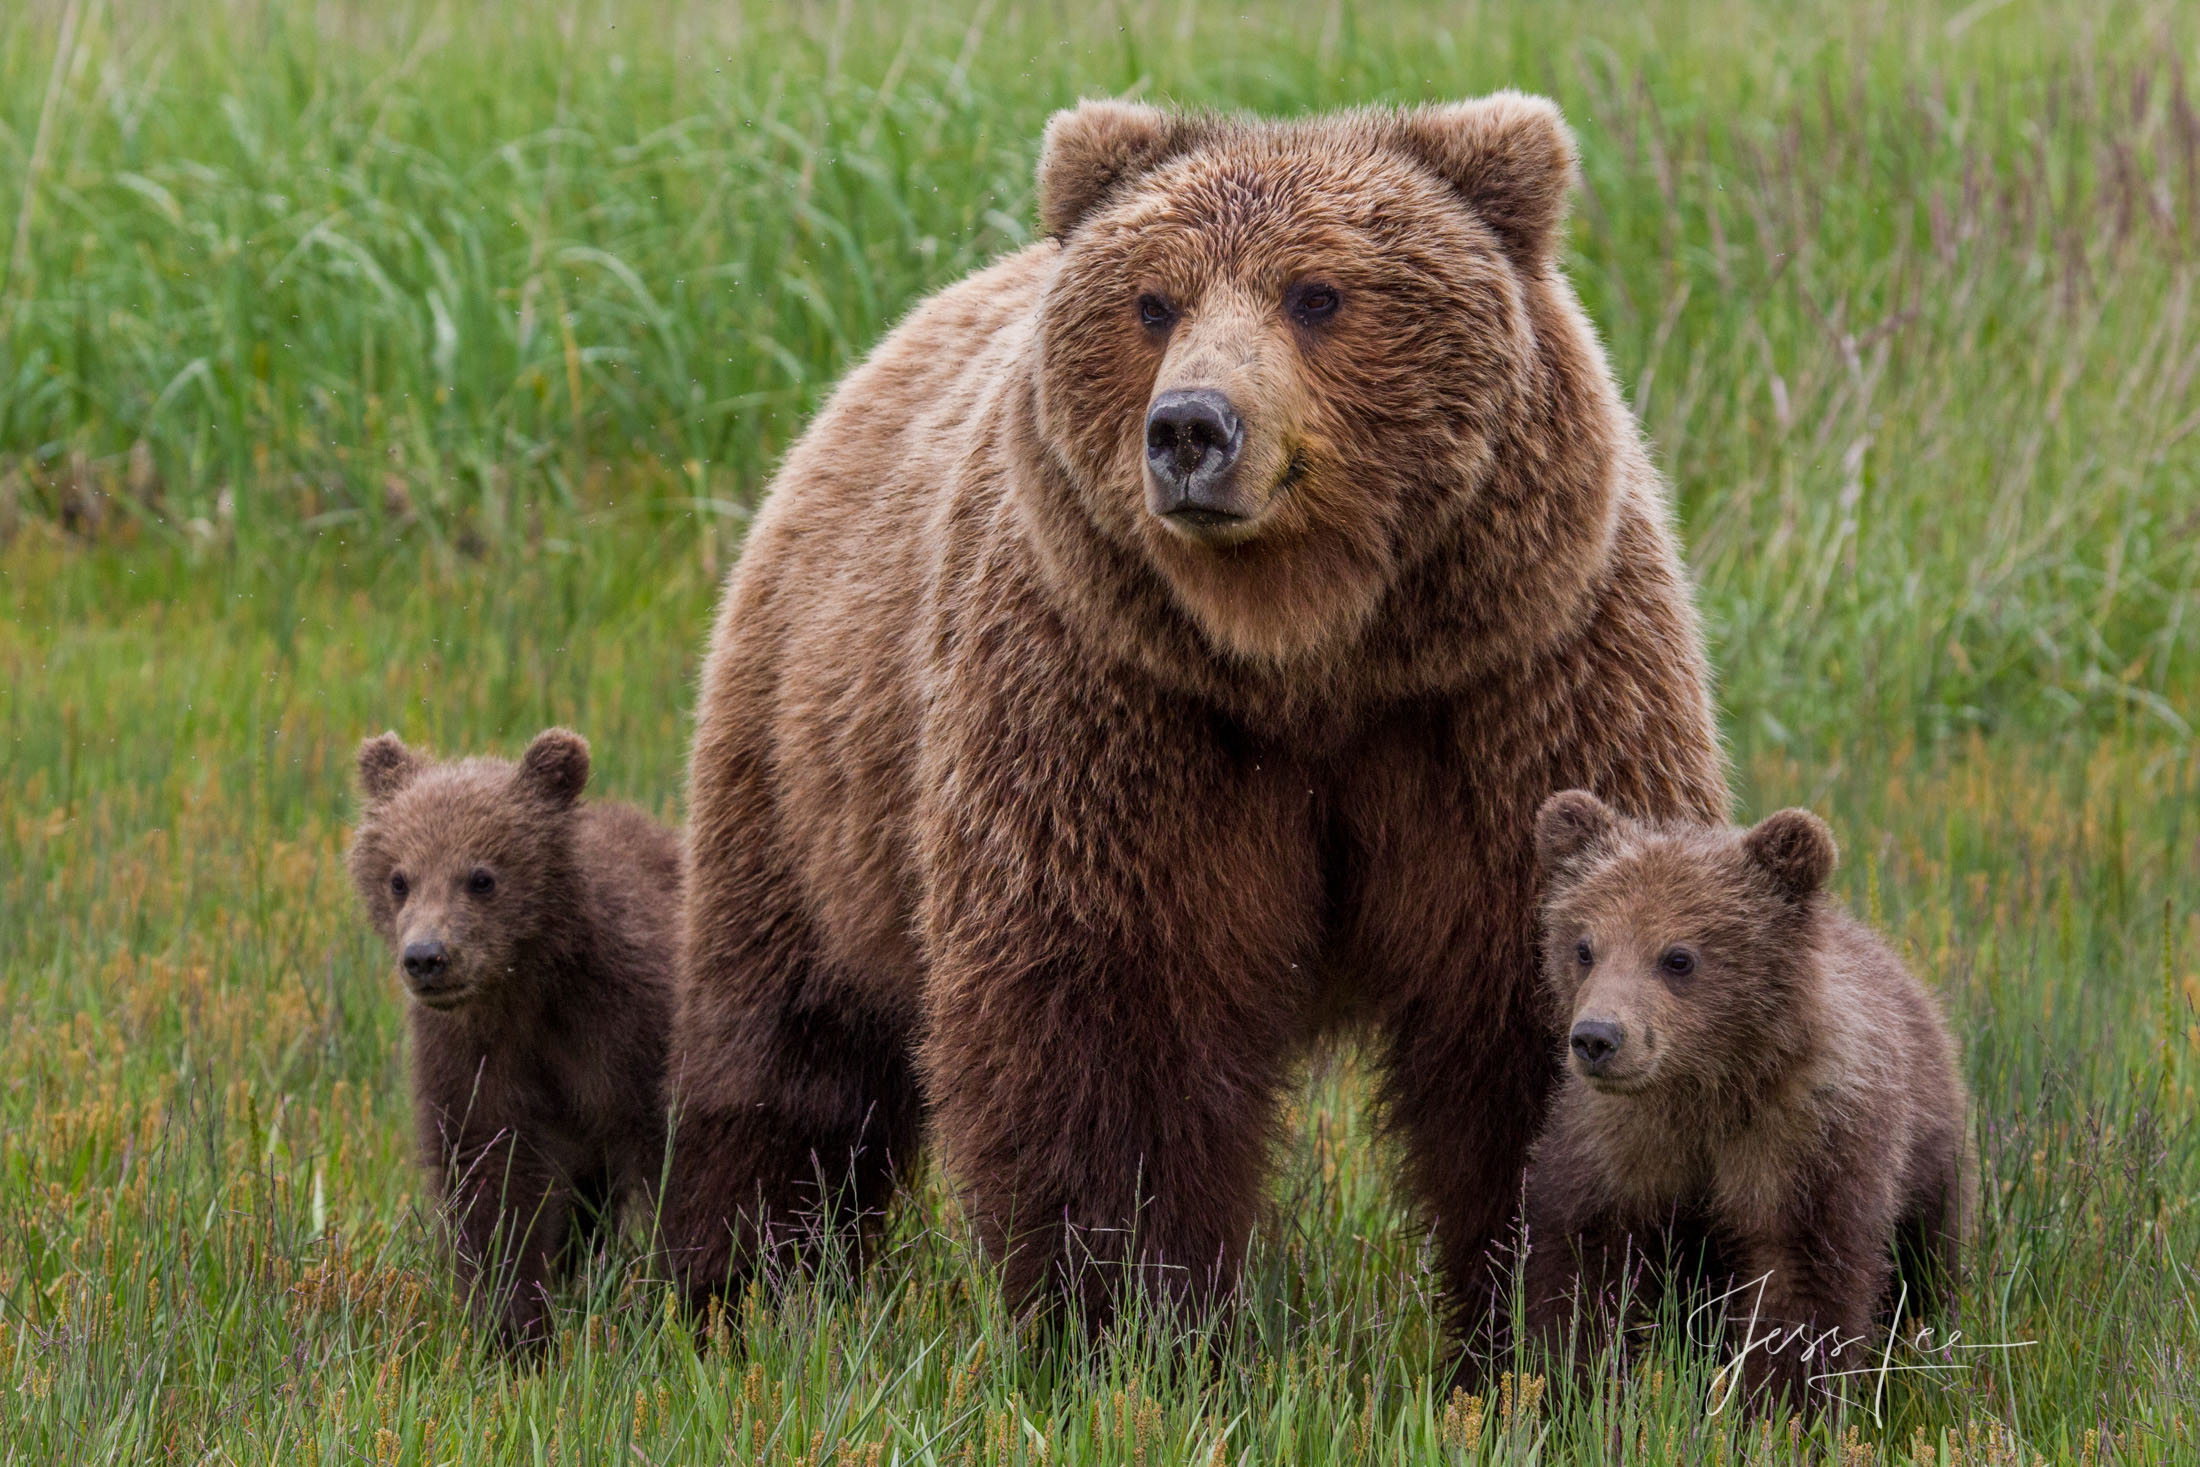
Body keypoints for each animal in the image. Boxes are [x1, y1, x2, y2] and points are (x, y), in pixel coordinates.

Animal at [660, 94, 1724, 1354]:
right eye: (1152, 302)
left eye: (1317, 293)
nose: (1188, 429)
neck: (1308, 655)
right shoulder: (1114, 711)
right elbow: (1109, 1029)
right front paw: (1133, 1327)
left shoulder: (1514, 695)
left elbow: (1534, 1010)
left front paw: (1565, 1331)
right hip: (806, 760)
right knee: (785, 1044)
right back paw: (739, 1290)